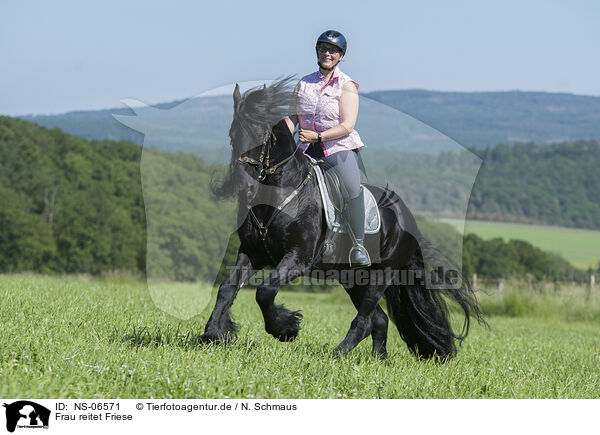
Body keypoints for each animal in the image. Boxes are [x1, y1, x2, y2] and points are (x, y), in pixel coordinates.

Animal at [200, 79, 482, 362]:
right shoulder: (252, 253)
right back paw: (378, 359)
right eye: (232, 135)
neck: (278, 195)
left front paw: (285, 329)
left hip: (383, 273)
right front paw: (212, 334)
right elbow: (227, 288)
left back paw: (337, 354)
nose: (242, 187)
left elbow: (265, 292)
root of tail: (406, 215)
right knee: (379, 320)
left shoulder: (297, 258)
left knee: (365, 319)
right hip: (352, 277)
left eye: (262, 136)